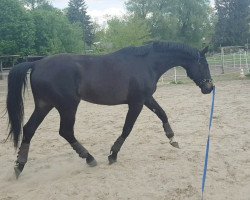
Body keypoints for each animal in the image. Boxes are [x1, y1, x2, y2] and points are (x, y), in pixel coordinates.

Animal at [6, 41, 213, 178]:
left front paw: (172, 139)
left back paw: (19, 165)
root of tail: (36, 63)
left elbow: (162, 114)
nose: (209, 88)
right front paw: (113, 155)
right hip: (67, 106)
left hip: (44, 105)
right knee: (65, 131)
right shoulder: (137, 102)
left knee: (29, 129)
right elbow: (127, 128)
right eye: (204, 64)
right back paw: (89, 158)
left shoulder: (146, 99)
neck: (146, 63)